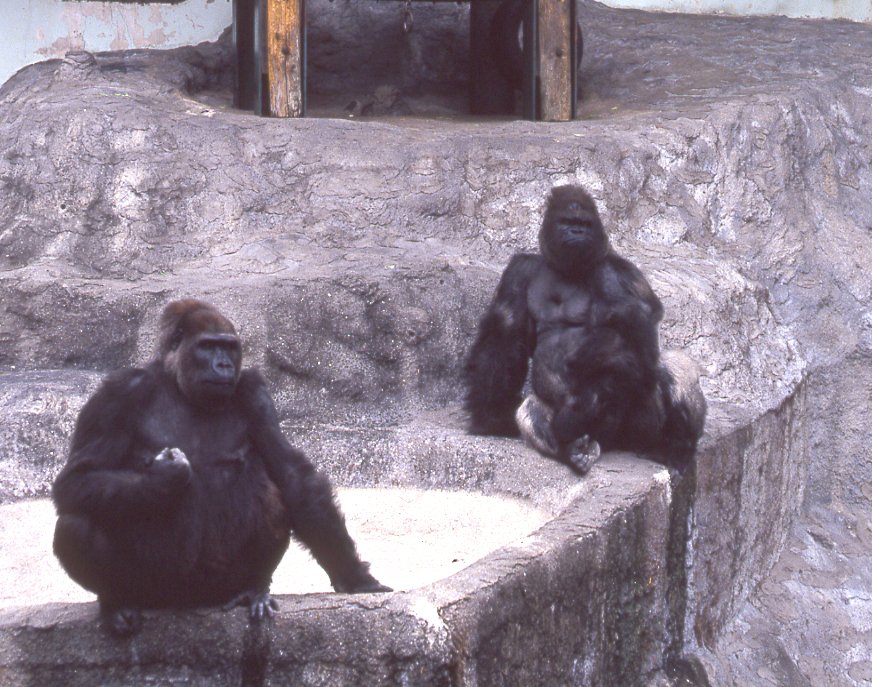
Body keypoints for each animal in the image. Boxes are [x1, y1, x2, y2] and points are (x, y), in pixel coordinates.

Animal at [52, 300, 390, 640]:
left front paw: (354, 576)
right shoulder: (118, 393)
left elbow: (293, 476)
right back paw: (116, 601)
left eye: (229, 347)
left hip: (223, 586)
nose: (225, 365)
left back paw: (253, 589)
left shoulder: (255, 391)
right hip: (155, 589)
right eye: (207, 346)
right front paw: (164, 479)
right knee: (75, 523)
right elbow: (77, 479)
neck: (177, 383)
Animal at [466, 185, 704, 476]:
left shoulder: (620, 272)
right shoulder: (520, 270)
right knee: (530, 408)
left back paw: (676, 448)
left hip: (631, 433)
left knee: (671, 364)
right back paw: (573, 452)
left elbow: (634, 342)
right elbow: (505, 335)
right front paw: (490, 417)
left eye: (585, 224)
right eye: (567, 222)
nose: (577, 232)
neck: (567, 268)